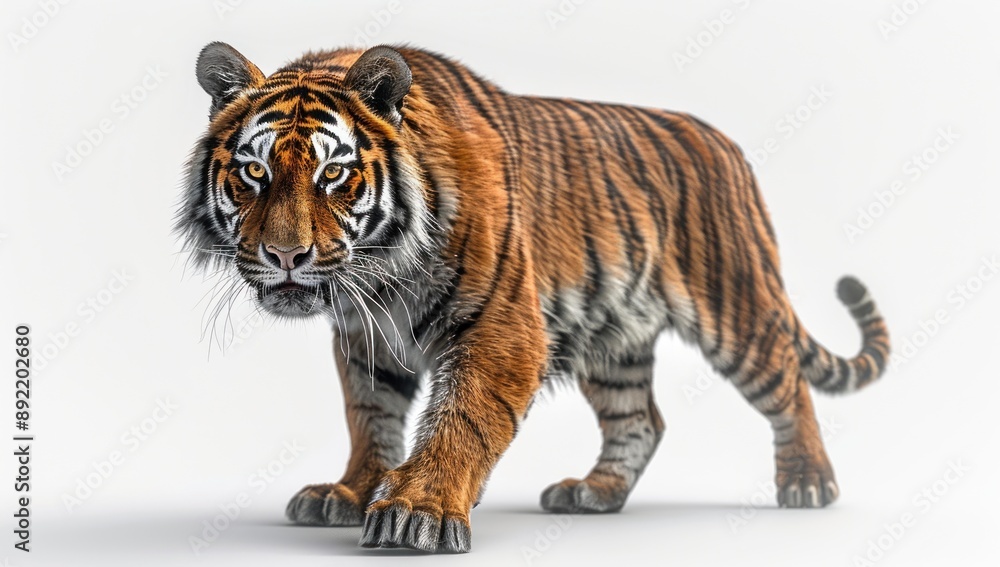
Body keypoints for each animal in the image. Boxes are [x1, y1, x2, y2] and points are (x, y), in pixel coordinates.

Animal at [176, 42, 891, 553]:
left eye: (333, 174)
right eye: (254, 171)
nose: (285, 256)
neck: (379, 275)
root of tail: (729, 148)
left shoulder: (501, 327)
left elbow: (459, 419)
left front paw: (416, 509)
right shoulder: (365, 338)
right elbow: (369, 417)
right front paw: (353, 492)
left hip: (734, 308)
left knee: (788, 383)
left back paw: (807, 482)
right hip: (614, 338)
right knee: (641, 420)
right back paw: (594, 493)